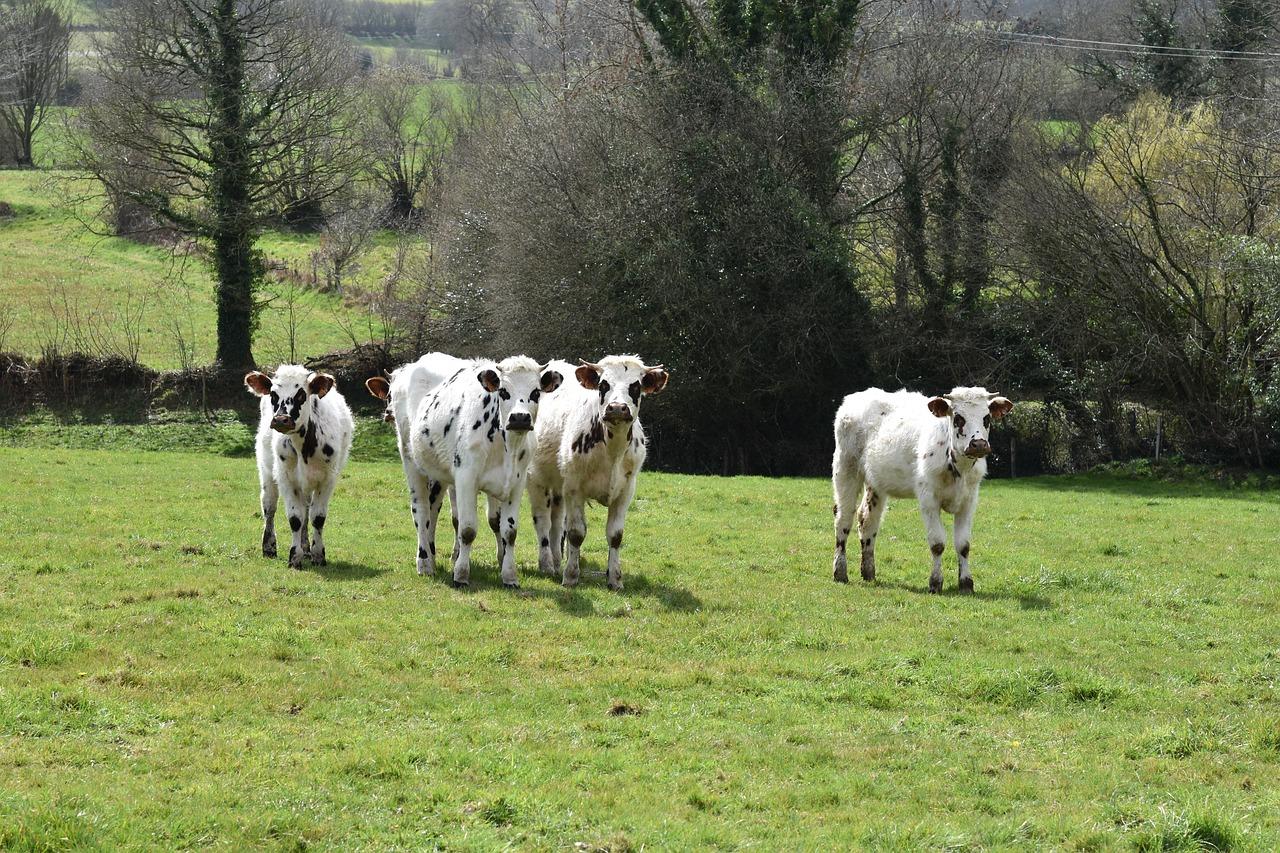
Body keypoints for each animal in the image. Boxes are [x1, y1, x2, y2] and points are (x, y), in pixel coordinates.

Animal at [244, 363, 353, 568]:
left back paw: (306, 548)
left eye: (302, 394)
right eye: (273, 394)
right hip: (267, 472)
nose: (281, 419)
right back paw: (269, 547)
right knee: (269, 508)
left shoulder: (327, 479)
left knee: (307, 510)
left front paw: (318, 554)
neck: (304, 446)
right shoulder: (287, 479)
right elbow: (295, 518)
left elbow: (317, 518)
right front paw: (294, 557)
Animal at [404, 350, 555, 584]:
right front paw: (461, 575)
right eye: (503, 391)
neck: (508, 444)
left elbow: (509, 531)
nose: (519, 418)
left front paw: (510, 576)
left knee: (432, 511)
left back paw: (432, 556)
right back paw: (424, 563)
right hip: (411, 460)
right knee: (420, 512)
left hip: (438, 474)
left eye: (536, 392)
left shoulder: (517, 482)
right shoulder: (466, 478)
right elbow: (467, 530)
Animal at [527, 350, 670, 584]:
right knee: (542, 522)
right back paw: (547, 564)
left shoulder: (626, 490)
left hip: (558, 486)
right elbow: (576, 533)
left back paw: (557, 561)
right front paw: (571, 575)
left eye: (636, 386)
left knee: (556, 524)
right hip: (536, 480)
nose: (617, 408)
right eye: (603, 384)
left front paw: (615, 578)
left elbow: (615, 535)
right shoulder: (574, 488)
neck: (612, 450)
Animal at [829, 384, 1018, 591]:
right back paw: (840, 571)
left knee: (867, 519)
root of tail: (856, 397)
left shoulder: (969, 500)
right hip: (846, 468)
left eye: (986, 417)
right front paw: (935, 582)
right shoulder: (928, 500)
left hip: (876, 482)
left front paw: (966, 583)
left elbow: (964, 545)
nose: (978, 444)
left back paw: (869, 572)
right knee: (843, 519)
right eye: (958, 417)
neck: (959, 468)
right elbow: (937, 543)